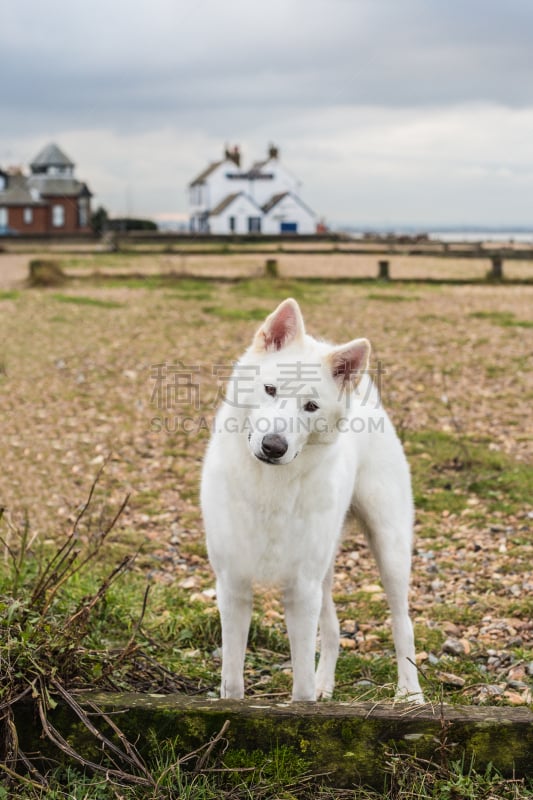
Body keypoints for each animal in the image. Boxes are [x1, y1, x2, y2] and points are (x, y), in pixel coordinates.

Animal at [202, 298, 422, 700]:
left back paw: (410, 693)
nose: (274, 446)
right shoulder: (234, 586)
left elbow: (300, 684)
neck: (271, 486)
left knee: (403, 623)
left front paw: (305, 703)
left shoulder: (301, 591)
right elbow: (232, 679)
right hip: (324, 572)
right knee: (333, 631)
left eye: (310, 407)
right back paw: (326, 685)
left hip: (390, 551)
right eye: (270, 389)